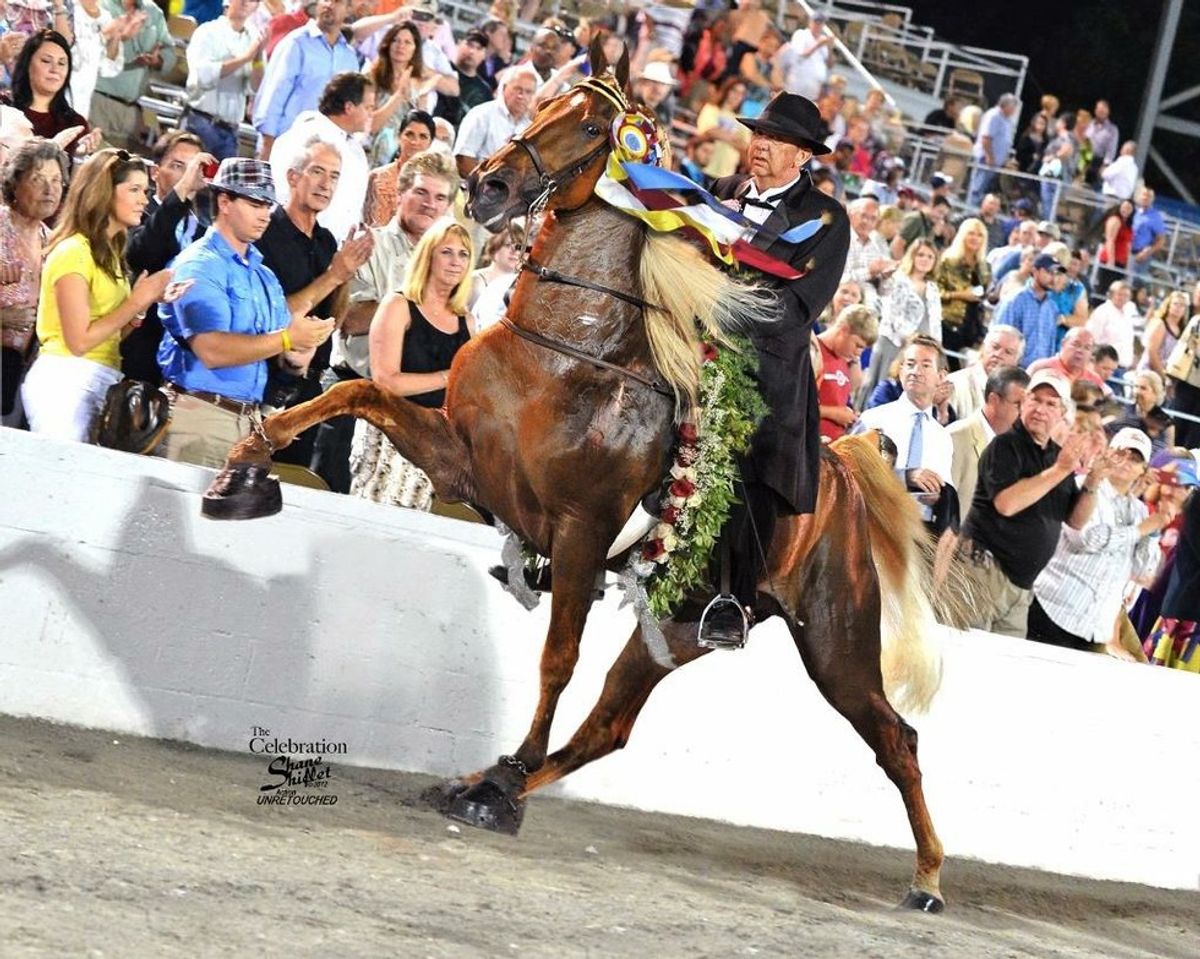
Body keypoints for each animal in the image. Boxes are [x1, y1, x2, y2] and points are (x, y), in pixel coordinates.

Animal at [211, 46, 950, 916]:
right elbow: (356, 391)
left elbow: (556, 657)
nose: (488, 185)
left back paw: (928, 879)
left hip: (834, 640)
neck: (569, 350)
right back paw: (493, 782)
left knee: (895, 736)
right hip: (678, 625)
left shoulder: (580, 532)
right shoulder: (469, 463)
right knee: (610, 725)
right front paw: (245, 466)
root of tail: (842, 475)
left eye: (597, 128)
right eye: (543, 104)